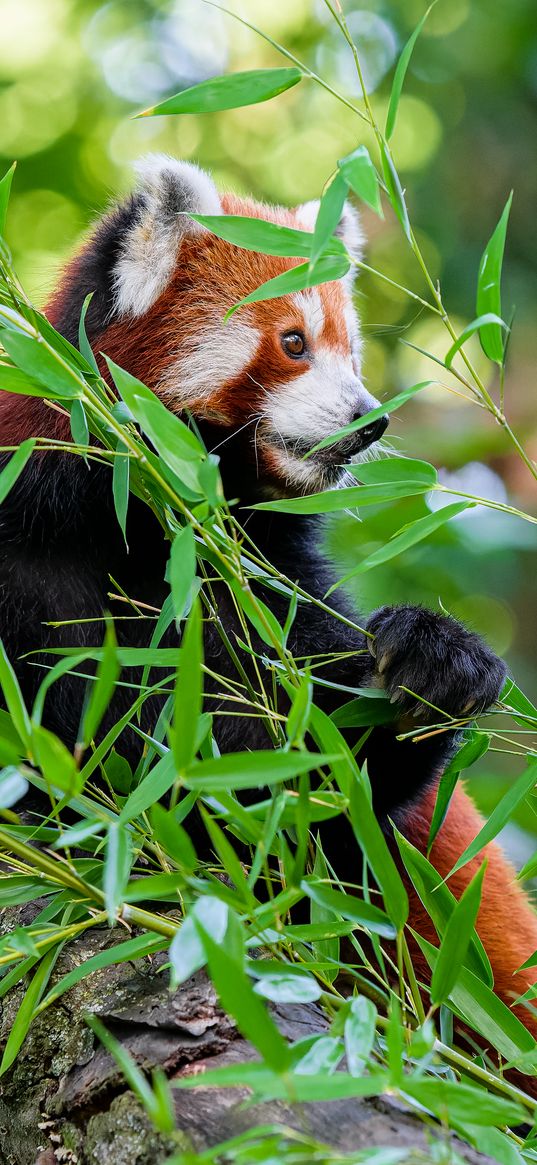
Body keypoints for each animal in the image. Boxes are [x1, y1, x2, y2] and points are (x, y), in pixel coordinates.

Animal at [1, 159, 535, 1067]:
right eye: (292, 343)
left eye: (349, 348)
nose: (368, 420)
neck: (143, 525)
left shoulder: (263, 587)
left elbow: (311, 787)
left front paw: (434, 664)